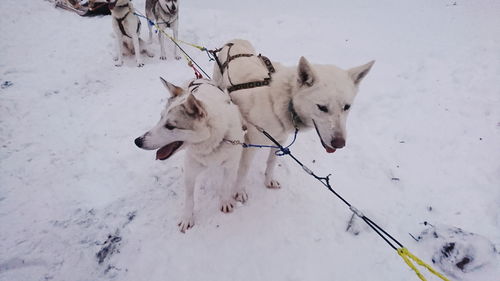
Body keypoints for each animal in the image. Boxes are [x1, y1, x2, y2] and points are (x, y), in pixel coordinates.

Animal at [135, 77, 246, 232]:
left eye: (170, 126)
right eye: (160, 118)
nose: (137, 141)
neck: (210, 143)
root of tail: (197, 78)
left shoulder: (231, 166)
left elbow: (225, 186)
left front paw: (224, 201)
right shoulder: (190, 172)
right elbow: (189, 199)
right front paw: (187, 218)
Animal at [212, 38, 376, 189]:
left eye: (346, 107)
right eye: (322, 107)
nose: (340, 143)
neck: (281, 103)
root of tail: (235, 41)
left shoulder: (280, 140)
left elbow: (271, 162)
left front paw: (268, 180)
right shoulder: (252, 142)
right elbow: (243, 171)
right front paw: (238, 193)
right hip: (217, 82)